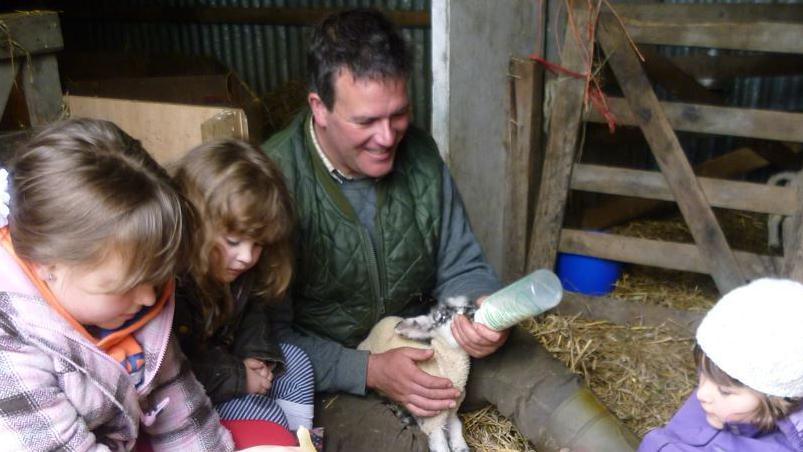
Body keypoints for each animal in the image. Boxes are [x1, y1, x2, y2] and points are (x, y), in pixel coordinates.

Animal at [354, 296, 474, 452]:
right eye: (443, 317)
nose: (471, 311)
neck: (442, 366)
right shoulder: (433, 423)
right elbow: (441, 446)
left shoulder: (452, 413)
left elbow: (457, 429)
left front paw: (461, 447)